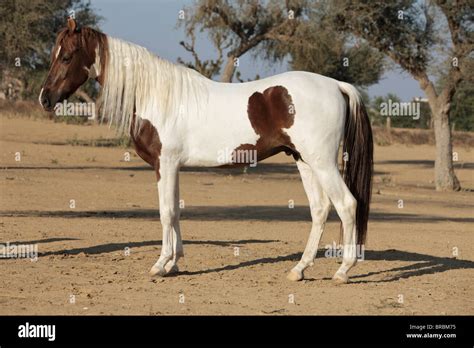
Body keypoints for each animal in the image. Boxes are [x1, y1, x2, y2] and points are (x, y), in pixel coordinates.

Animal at [39, 17, 374, 282]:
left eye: (66, 56)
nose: (45, 98)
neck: (156, 95)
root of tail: (336, 84)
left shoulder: (165, 164)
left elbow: (166, 212)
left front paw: (160, 265)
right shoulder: (171, 167)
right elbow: (175, 212)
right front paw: (174, 263)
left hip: (323, 162)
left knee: (347, 205)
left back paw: (343, 271)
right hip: (304, 161)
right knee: (320, 209)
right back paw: (299, 270)